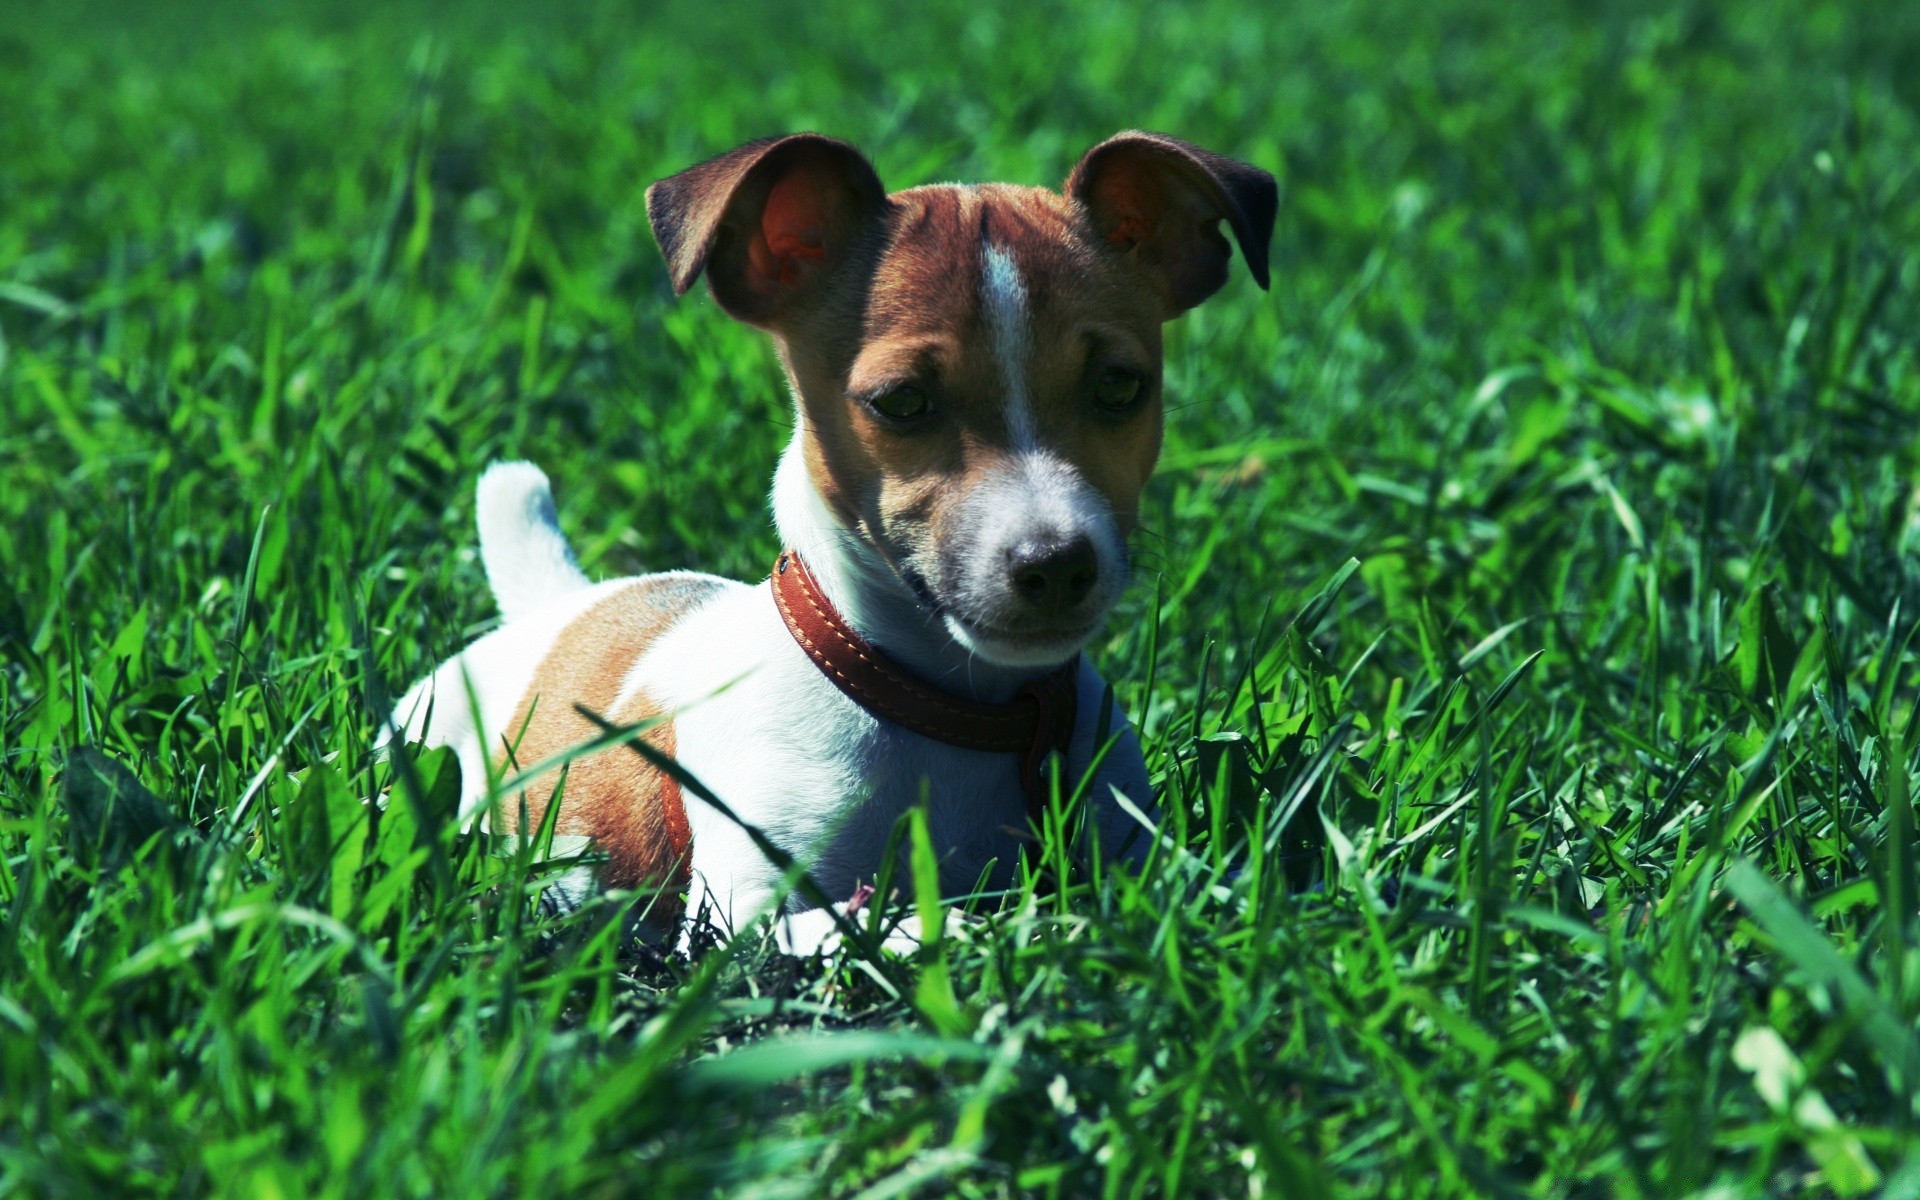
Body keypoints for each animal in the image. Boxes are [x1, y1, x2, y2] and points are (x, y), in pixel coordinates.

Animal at [389, 130, 1274, 948]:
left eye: (1121, 386)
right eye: (902, 402)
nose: (1055, 565)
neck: (962, 713)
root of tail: (558, 606)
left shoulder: (1127, 839)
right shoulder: (746, 915)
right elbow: (907, 925)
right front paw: (1027, 926)